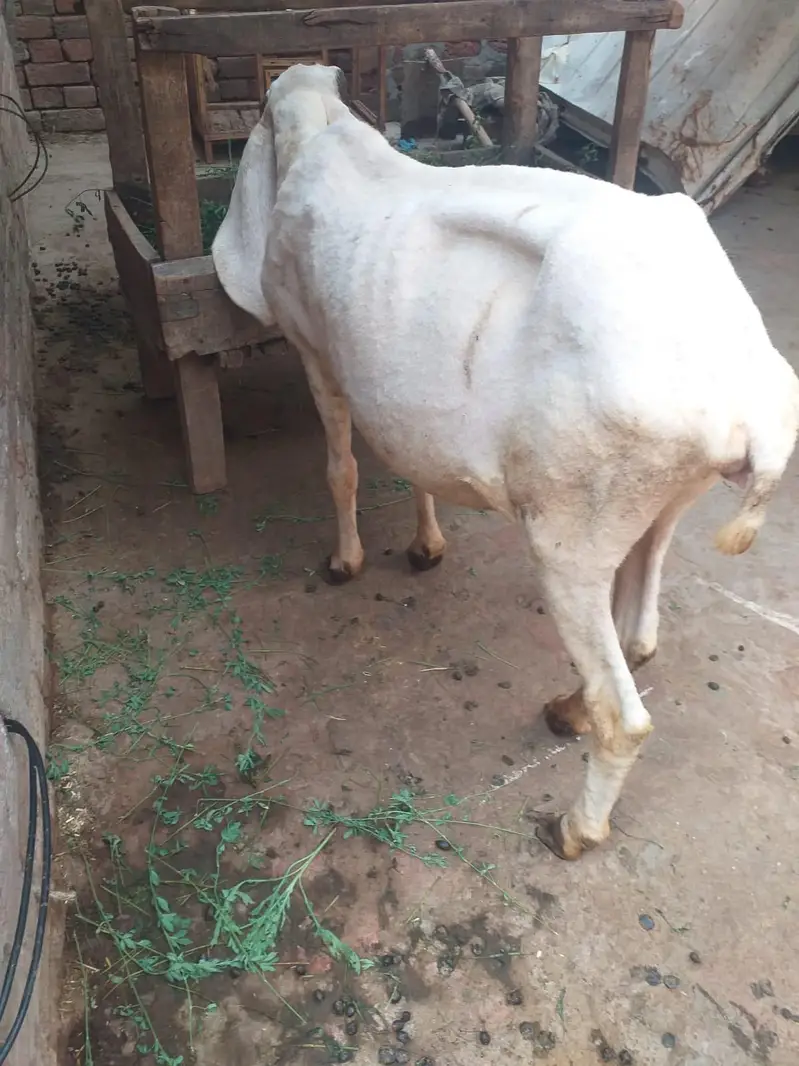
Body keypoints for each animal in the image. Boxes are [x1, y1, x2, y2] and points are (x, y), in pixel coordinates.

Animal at [212, 63, 799, 861]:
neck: (320, 137)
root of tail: (747, 400)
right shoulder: (396, 393)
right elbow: (409, 465)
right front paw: (425, 546)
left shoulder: (316, 356)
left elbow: (342, 469)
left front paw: (345, 562)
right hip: (663, 502)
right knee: (640, 637)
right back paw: (566, 709)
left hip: (571, 536)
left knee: (626, 716)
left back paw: (575, 826)